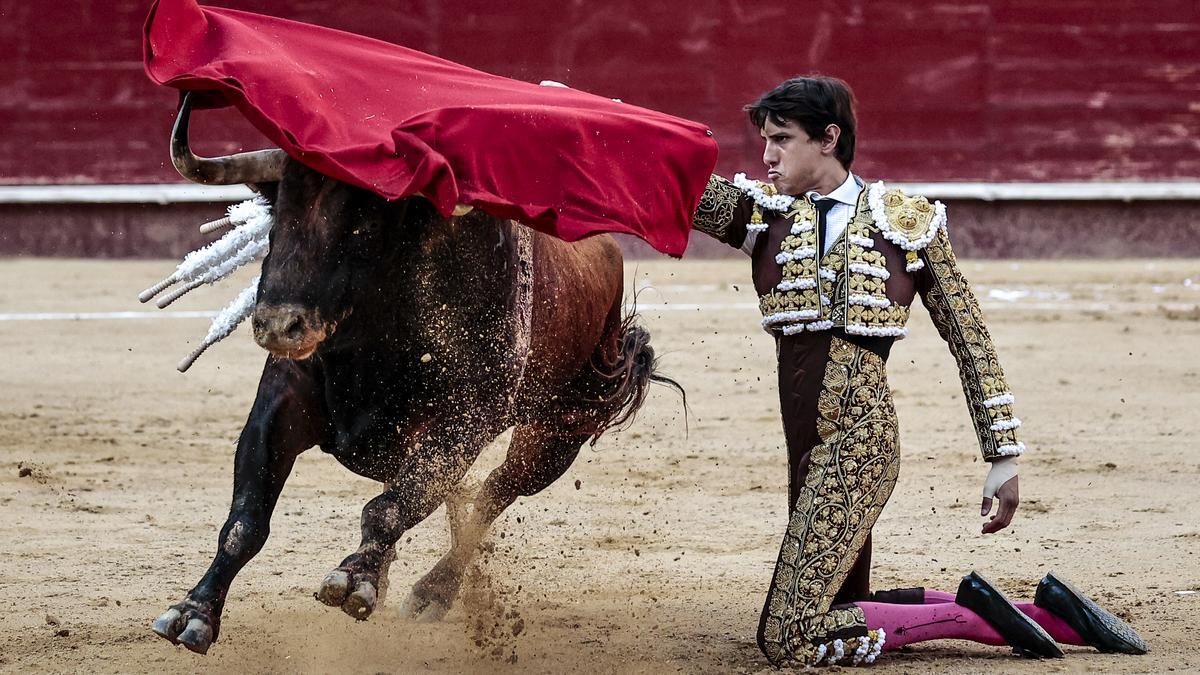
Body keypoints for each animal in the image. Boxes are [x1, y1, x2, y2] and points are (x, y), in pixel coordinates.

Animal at [150, 96, 676, 653]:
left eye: (363, 228)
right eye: (276, 223)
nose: (277, 324)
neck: (373, 343)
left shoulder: (464, 423)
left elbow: (391, 506)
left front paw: (353, 578)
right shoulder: (281, 400)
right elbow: (246, 518)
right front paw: (193, 612)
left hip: (557, 433)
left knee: (493, 494)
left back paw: (433, 591)